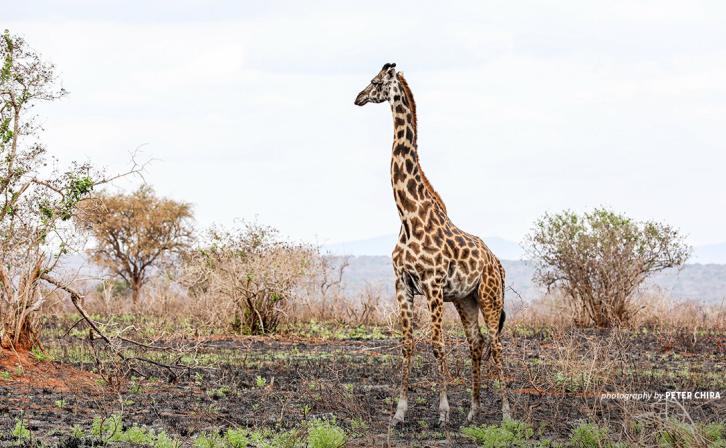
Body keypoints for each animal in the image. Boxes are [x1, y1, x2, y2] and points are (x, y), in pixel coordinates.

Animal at [354, 63, 511, 425]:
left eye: (375, 82)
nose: (358, 98)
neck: (408, 216)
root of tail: (497, 263)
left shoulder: (434, 284)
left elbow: (437, 344)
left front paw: (442, 412)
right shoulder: (403, 284)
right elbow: (408, 343)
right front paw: (399, 413)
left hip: (489, 296)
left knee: (496, 344)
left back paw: (507, 413)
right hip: (466, 299)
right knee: (476, 342)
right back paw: (473, 411)